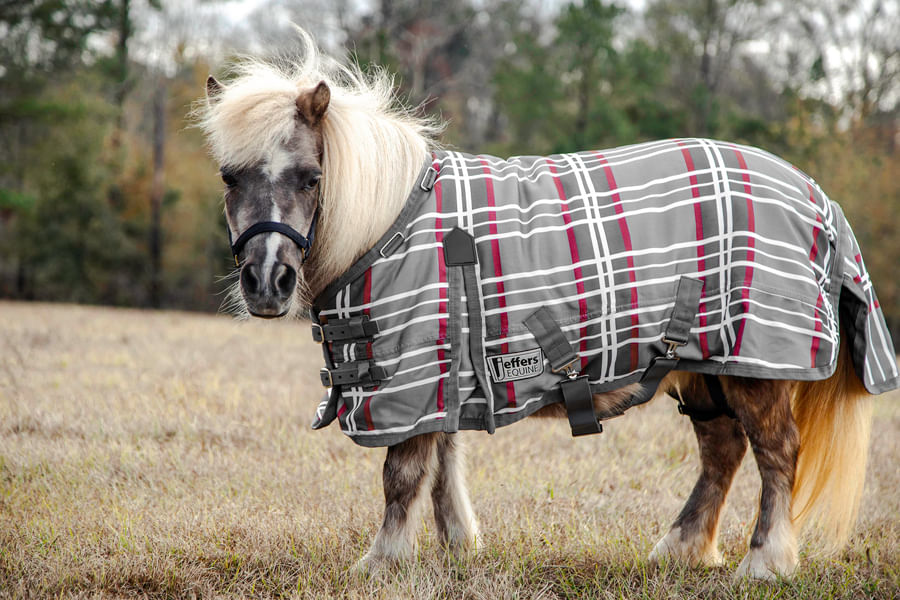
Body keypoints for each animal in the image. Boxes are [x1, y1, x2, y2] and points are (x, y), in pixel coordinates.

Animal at [195, 31, 897, 581]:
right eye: (230, 176)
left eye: (310, 178)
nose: (266, 281)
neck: (392, 222)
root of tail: (816, 197)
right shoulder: (444, 374)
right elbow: (444, 466)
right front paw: (457, 548)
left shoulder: (412, 375)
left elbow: (404, 473)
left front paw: (383, 561)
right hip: (704, 366)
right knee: (722, 451)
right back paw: (680, 548)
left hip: (753, 365)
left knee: (776, 453)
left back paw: (765, 559)